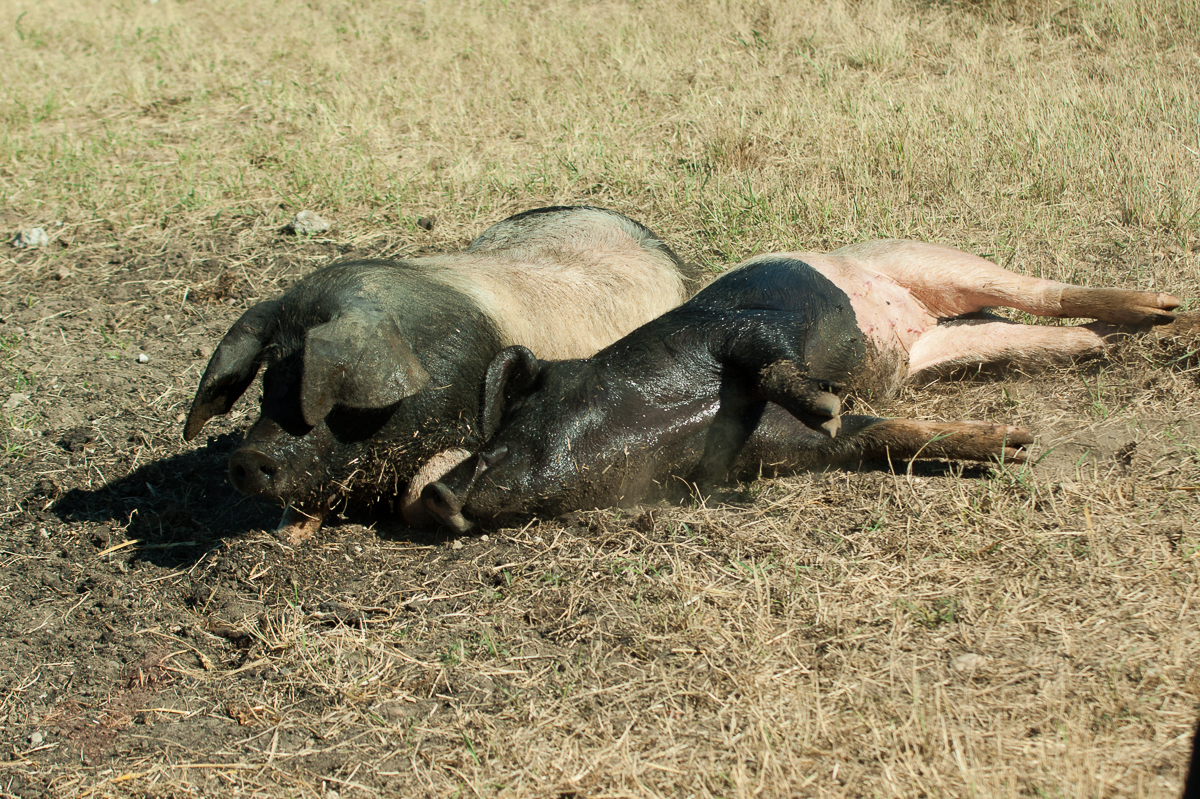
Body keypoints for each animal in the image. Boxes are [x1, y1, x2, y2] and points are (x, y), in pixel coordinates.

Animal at [422, 242, 1190, 527]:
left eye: (519, 412)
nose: (430, 495)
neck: (661, 413)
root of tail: (915, 322)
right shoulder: (768, 448)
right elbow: (873, 437)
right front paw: (1013, 444)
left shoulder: (741, 328)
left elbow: (767, 361)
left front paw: (825, 402)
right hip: (952, 345)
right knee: (1059, 336)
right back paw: (1137, 334)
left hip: (930, 257)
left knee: (1037, 289)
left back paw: (1167, 309)